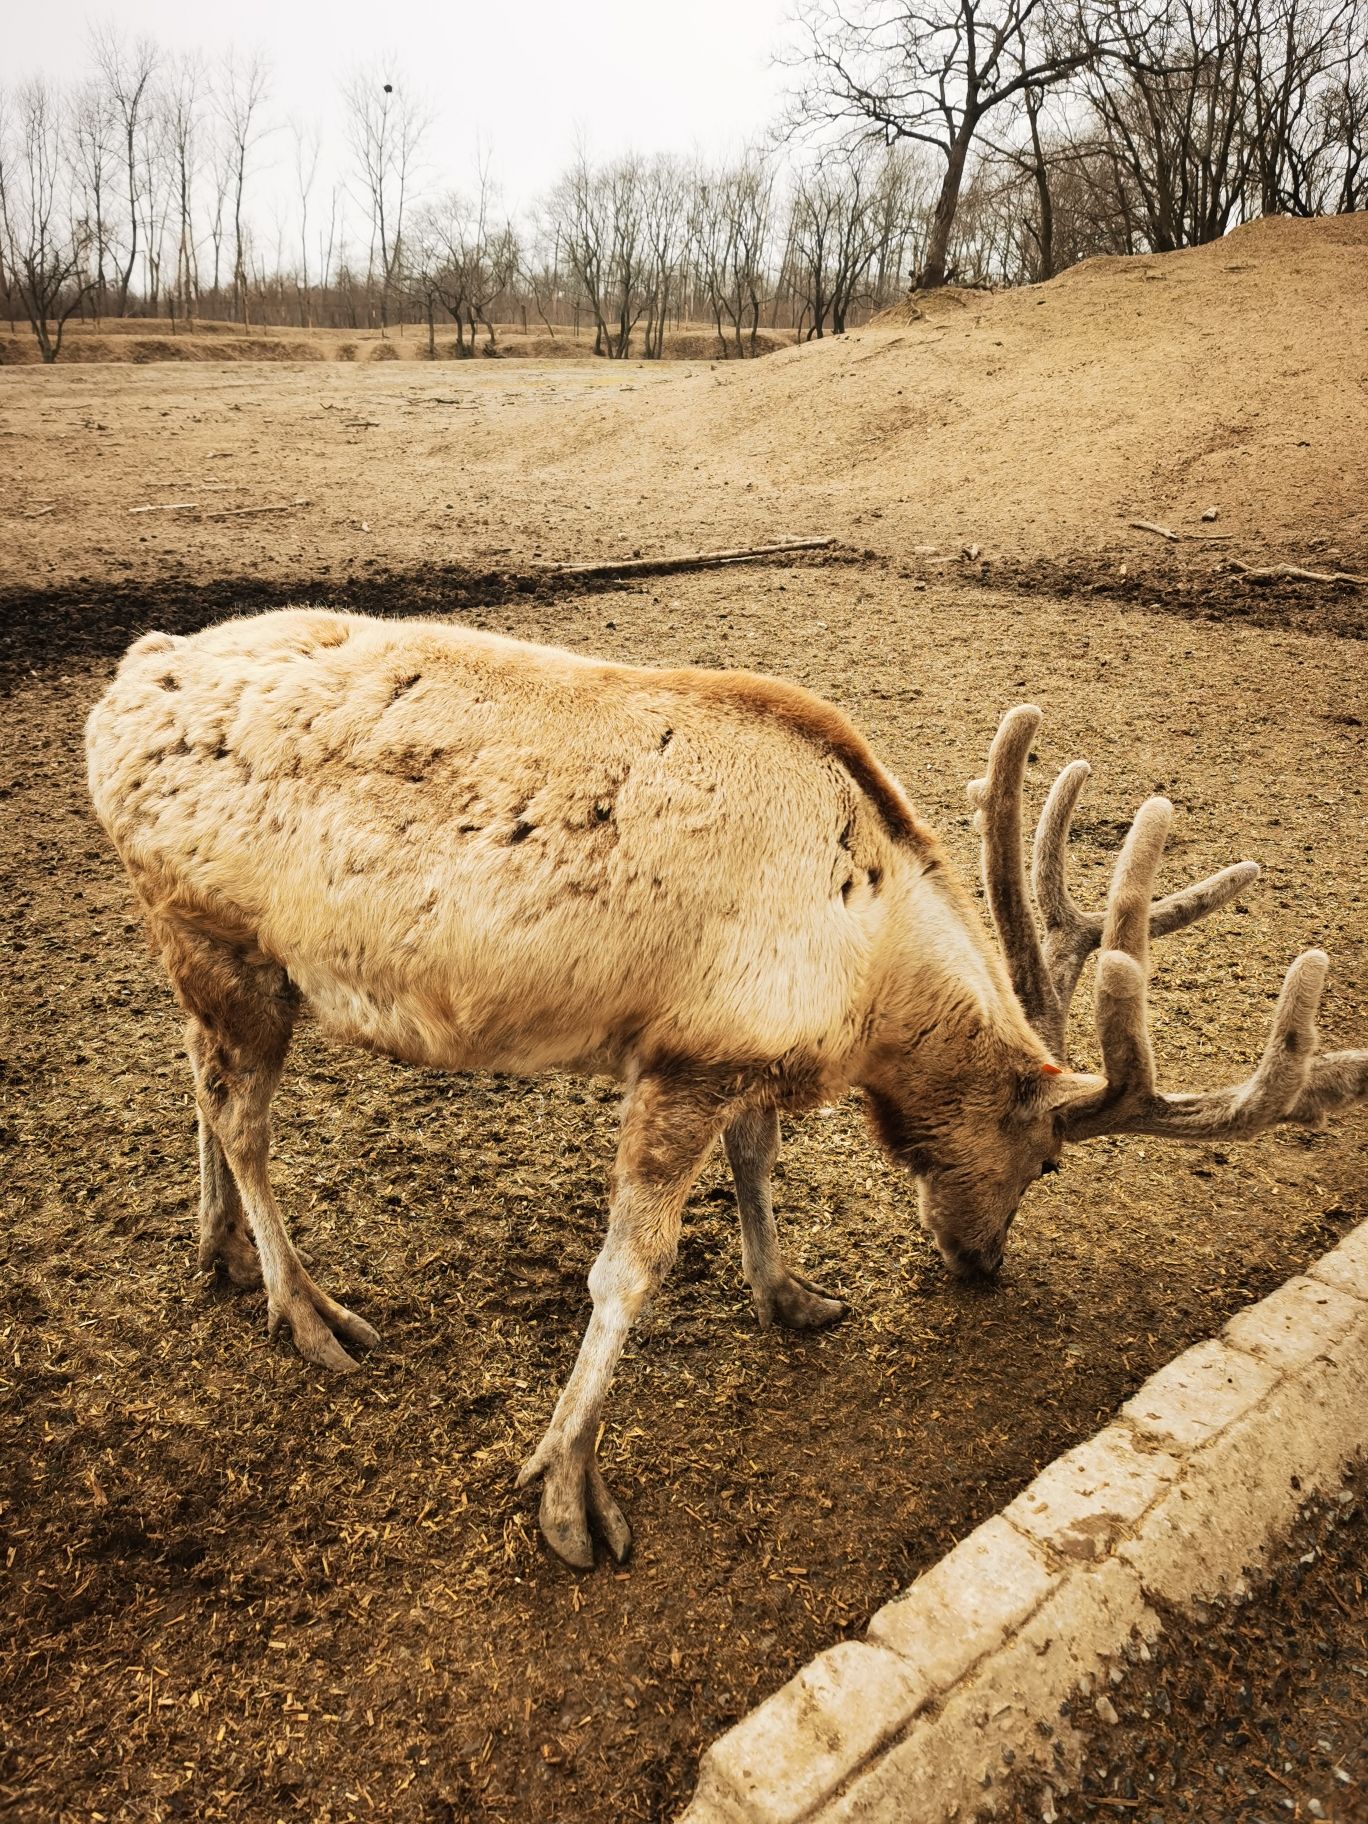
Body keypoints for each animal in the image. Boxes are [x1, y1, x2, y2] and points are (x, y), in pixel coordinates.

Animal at [85, 607, 1367, 1569]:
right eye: (1047, 1158)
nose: (982, 1262)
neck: (863, 985)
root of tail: (119, 685)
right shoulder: (684, 1055)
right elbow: (627, 1269)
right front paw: (567, 1493)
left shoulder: (750, 1052)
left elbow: (759, 1162)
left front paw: (790, 1293)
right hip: (216, 928)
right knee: (244, 1120)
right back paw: (306, 1309)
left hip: (215, 955)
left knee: (198, 1078)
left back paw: (214, 1248)